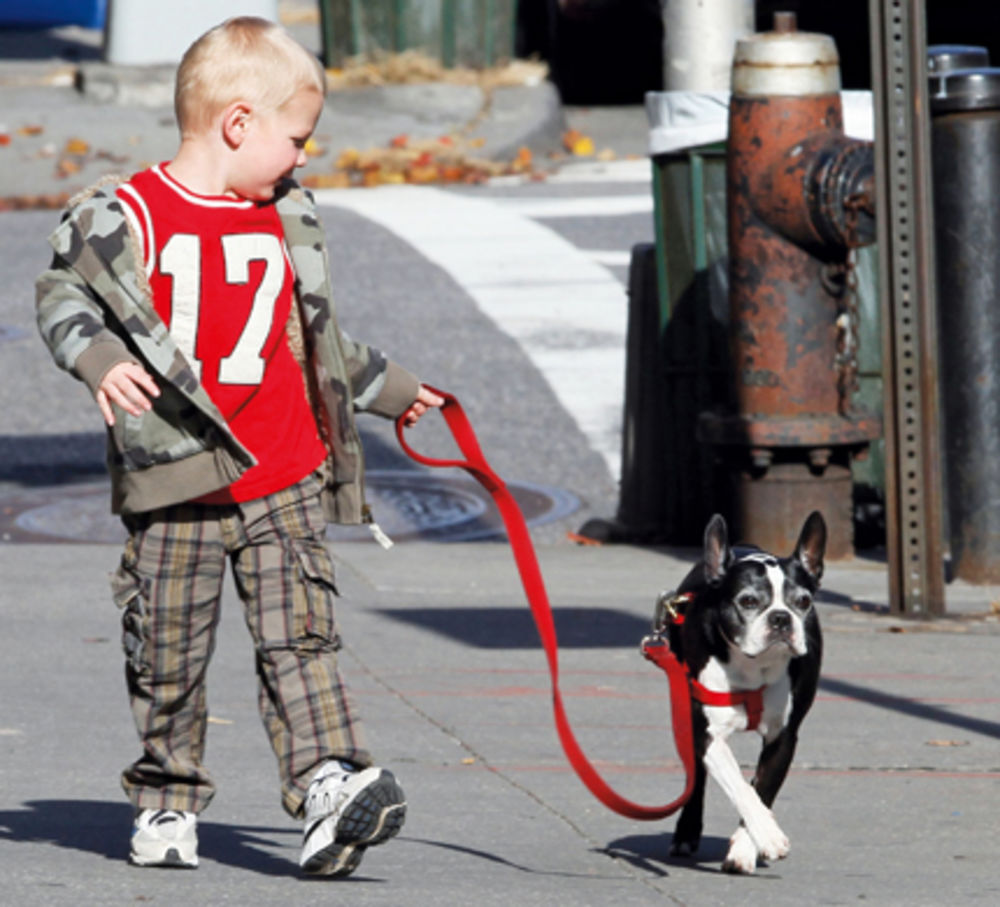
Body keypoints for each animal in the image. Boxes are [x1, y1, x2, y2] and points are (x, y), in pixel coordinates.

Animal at [652, 510, 824, 872]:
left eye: (804, 601)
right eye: (747, 601)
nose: (780, 618)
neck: (753, 665)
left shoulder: (783, 738)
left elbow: (761, 790)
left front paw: (747, 847)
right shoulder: (707, 733)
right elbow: (739, 786)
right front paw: (769, 837)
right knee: (697, 781)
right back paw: (686, 833)